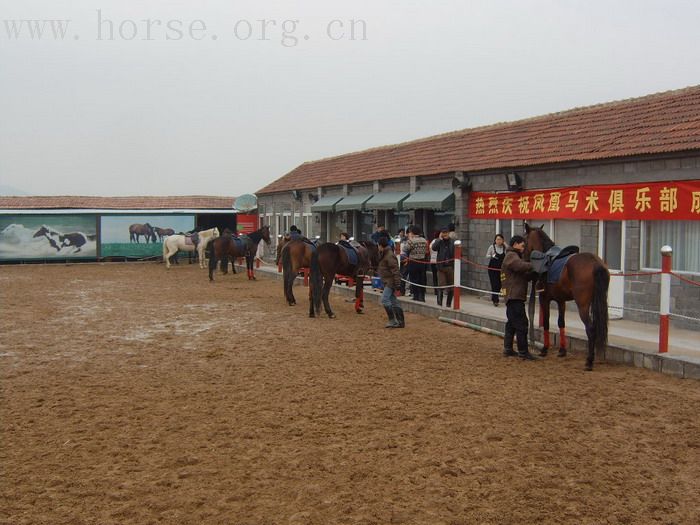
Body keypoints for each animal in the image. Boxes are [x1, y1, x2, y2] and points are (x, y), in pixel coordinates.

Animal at [524, 223, 608, 370]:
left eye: (524, 240)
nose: (523, 256)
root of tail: (595, 263)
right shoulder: (561, 301)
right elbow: (561, 322)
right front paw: (562, 351)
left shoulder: (545, 299)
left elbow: (546, 322)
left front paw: (545, 349)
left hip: (583, 305)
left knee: (591, 329)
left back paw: (589, 361)